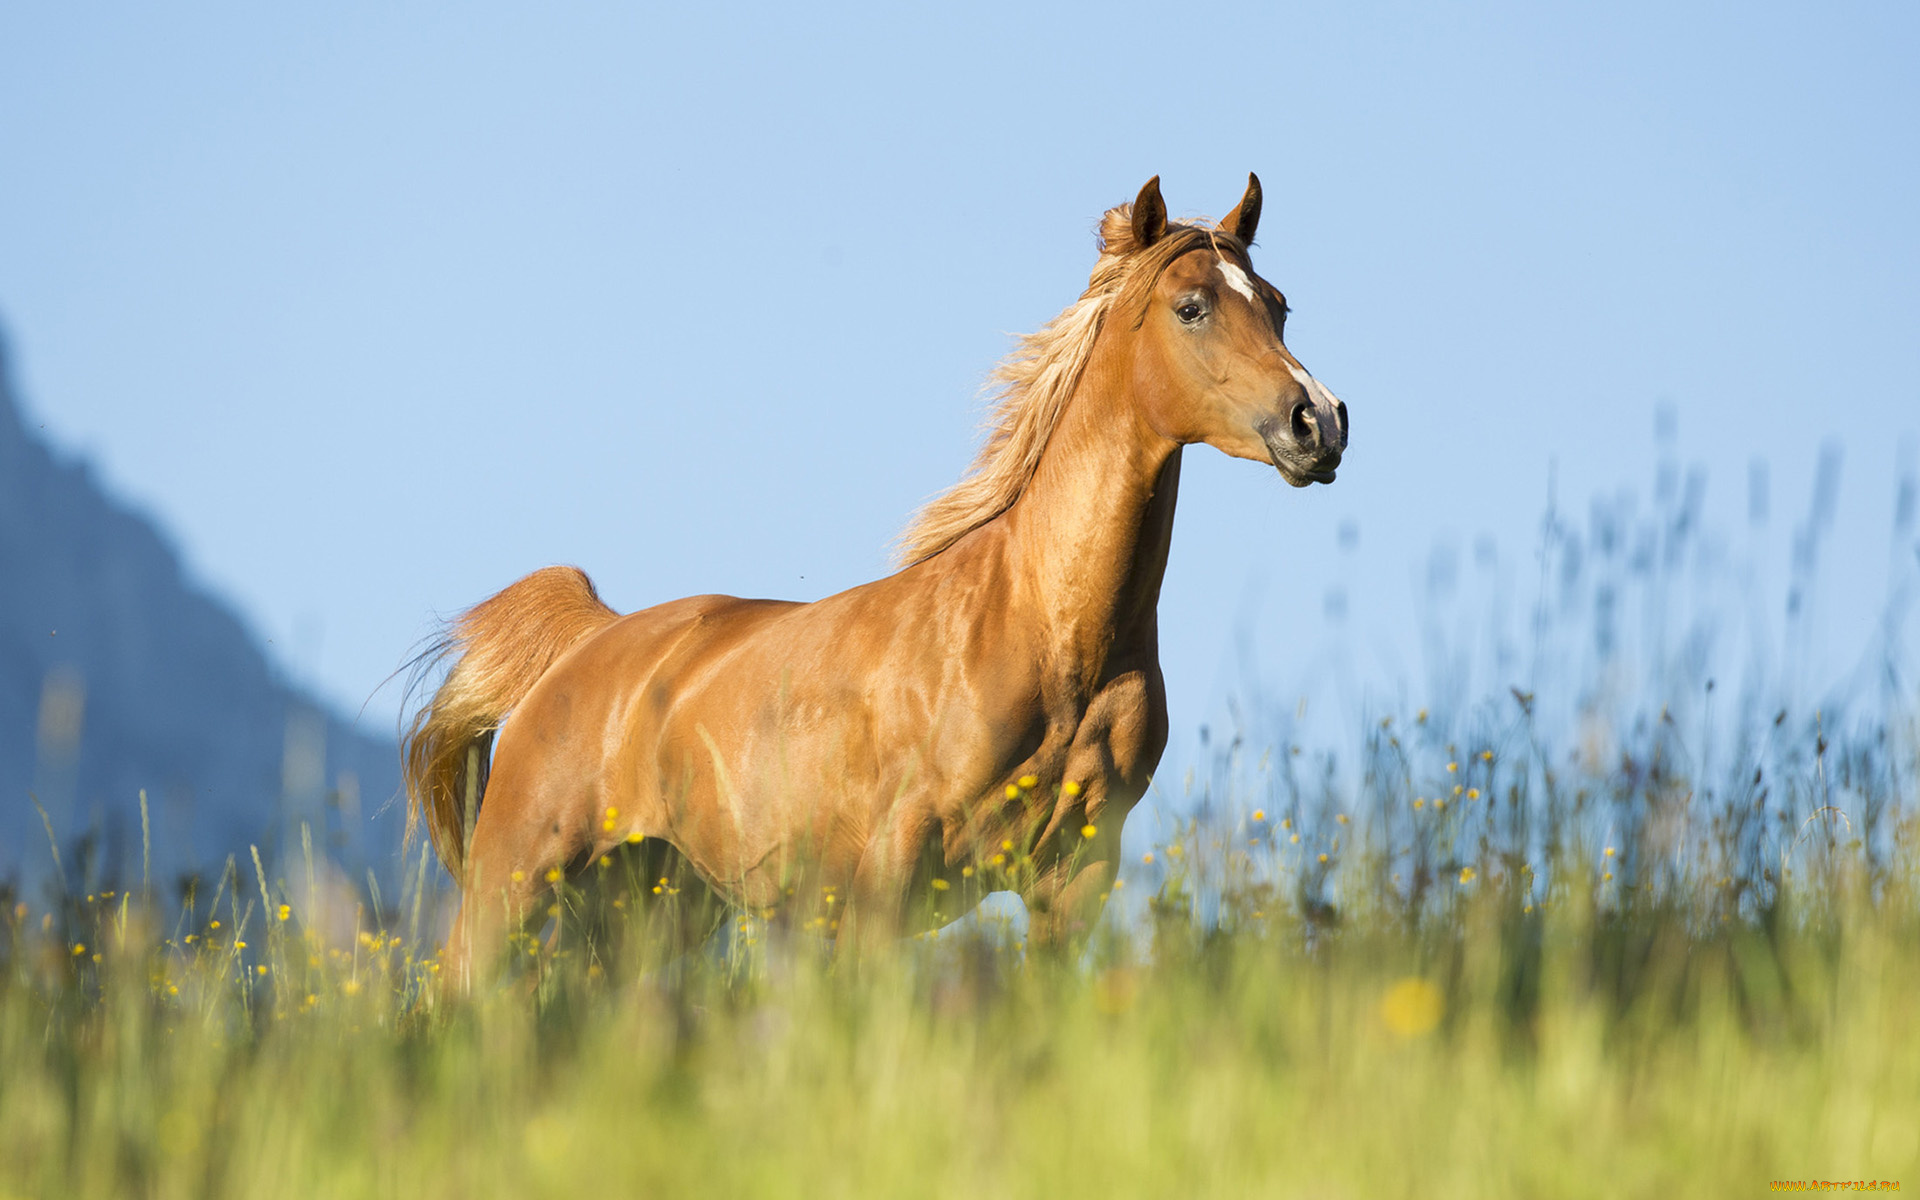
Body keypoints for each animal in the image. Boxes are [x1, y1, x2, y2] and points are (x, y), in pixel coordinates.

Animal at [408, 177, 1351, 983]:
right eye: (1192, 307)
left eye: (1276, 304)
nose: (1319, 422)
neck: (1046, 636)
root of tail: (587, 640)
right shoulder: (890, 880)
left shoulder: (1071, 883)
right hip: (508, 892)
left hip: (647, 911)